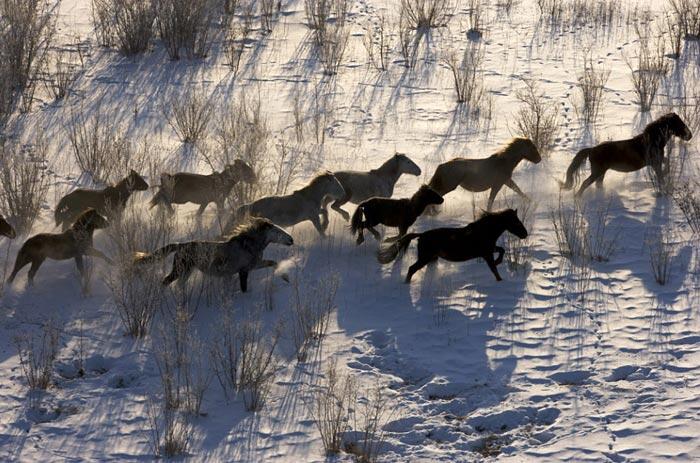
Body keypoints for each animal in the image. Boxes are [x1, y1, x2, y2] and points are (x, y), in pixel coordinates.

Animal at [380, 209, 528, 282]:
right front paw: (500, 279)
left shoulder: (489, 250)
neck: (484, 231)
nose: (525, 234)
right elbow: (494, 269)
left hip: (432, 258)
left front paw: (499, 263)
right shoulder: (486, 254)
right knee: (411, 269)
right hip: (425, 258)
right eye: (515, 221)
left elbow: (501, 250)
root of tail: (421, 235)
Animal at [560, 114, 692, 198]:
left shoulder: (657, 161)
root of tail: (592, 150)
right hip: (597, 172)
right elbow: (660, 177)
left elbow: (667, 162)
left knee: (598, 184)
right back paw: (578, 198)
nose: (689, 135)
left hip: (601, 172)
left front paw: (665, 174)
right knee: (585, 183)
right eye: (679, 124)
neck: (653, 141)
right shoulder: (655, 163)